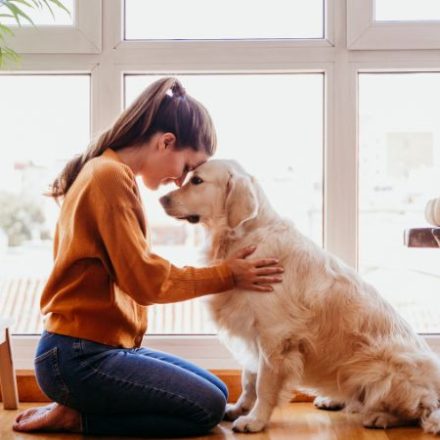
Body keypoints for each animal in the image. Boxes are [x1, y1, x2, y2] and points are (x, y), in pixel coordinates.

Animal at [160, 158, 440, 434]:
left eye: (197, 180)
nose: (162, 199)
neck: (243, 236)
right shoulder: (252, 331)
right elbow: (248, 379)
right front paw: (240, 408)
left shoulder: (274, 335)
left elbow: (263, 384)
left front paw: (255, 420)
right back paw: (333, 400)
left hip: (383, 370)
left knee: (419, 410)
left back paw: (380, 416)